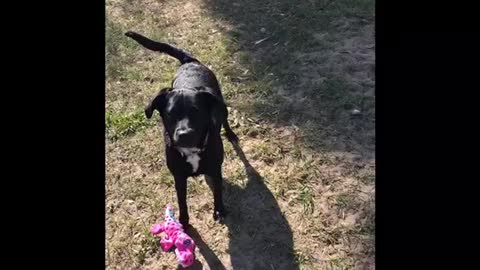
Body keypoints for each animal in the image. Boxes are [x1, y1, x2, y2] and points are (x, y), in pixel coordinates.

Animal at [124, 31, 239, 228]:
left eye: (197, 111)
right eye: (170, 113)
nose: (184, 134)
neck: (192, 150)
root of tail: (189, 61)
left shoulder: (216, 170)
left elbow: (218, 193)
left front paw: (219, 210)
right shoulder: (178, 178)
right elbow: (182, 202)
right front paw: (183, 223)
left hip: (222, 106)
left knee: (225, 120)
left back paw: (231, 134)